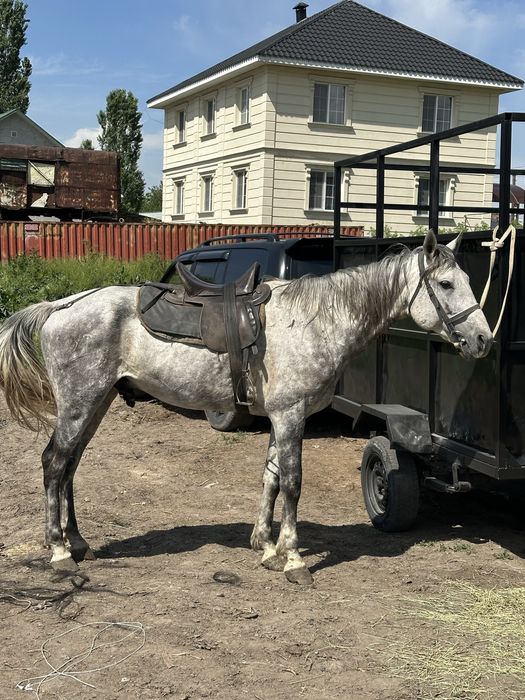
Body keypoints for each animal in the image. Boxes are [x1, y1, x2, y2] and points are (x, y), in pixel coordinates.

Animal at [0, 230, 492, 585]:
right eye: (446, 284)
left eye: (468, 282)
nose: (483, 340)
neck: (317, 321)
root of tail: (61, 305)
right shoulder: (291, 415)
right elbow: (292, 481)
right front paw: (293, 560)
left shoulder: (284, 416)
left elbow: (271, 476)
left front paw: (267, 547)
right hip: (80, 403)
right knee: (54, 462)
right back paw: (59, 553)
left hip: (96, 403)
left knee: (70, 465)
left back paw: (77, 541)